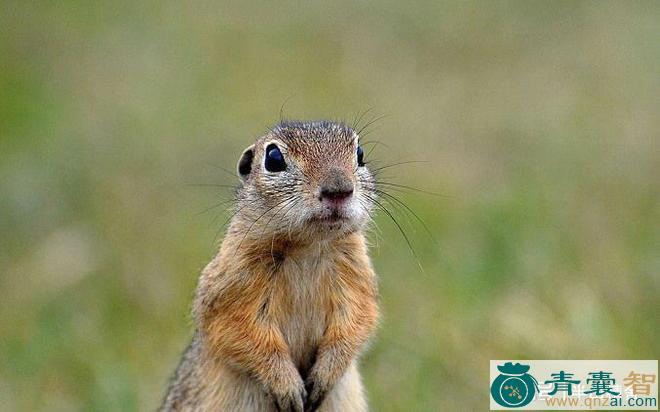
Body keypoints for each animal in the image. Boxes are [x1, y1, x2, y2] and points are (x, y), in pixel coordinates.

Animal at [160, 120, 382, 410]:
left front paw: (322, 377)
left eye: (360, 154)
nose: (338, 190)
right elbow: (240, 331)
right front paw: (288, 388)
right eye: (274, 158)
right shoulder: (232, 284)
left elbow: (357, 320)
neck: (307, 247)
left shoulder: (357, 277)